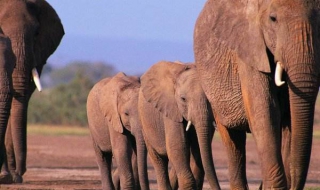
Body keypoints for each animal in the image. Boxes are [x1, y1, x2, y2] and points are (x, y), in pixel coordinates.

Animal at [139, 61, 221, 190]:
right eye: (183, 99)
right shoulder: (171, 108)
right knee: (159, 160)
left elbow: (197, 148)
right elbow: (177, 146)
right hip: (144, 123)